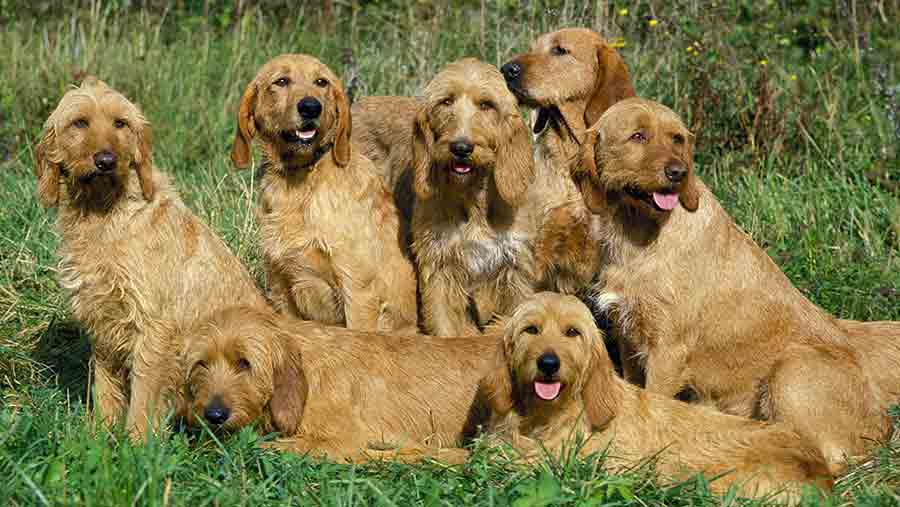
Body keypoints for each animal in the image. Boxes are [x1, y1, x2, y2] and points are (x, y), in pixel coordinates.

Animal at [178, 306, 496, 464]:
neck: (308, 375)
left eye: (245, 363)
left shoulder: (343, 440)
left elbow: (275, 446)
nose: (213, 415)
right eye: (201, 364)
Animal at [230, 54, 416, 334]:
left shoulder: (357, 290)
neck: (300, 182)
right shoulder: (281, 288)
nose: (310, 107)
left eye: (321, 82)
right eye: (281, 81)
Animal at [572, 97, 896, 474]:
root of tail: (884, 424)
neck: (637, 232)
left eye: (677, 139)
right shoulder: (628, 337)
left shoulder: (668, 350)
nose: (678, 173)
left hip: (791, 368)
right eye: (638, 135)